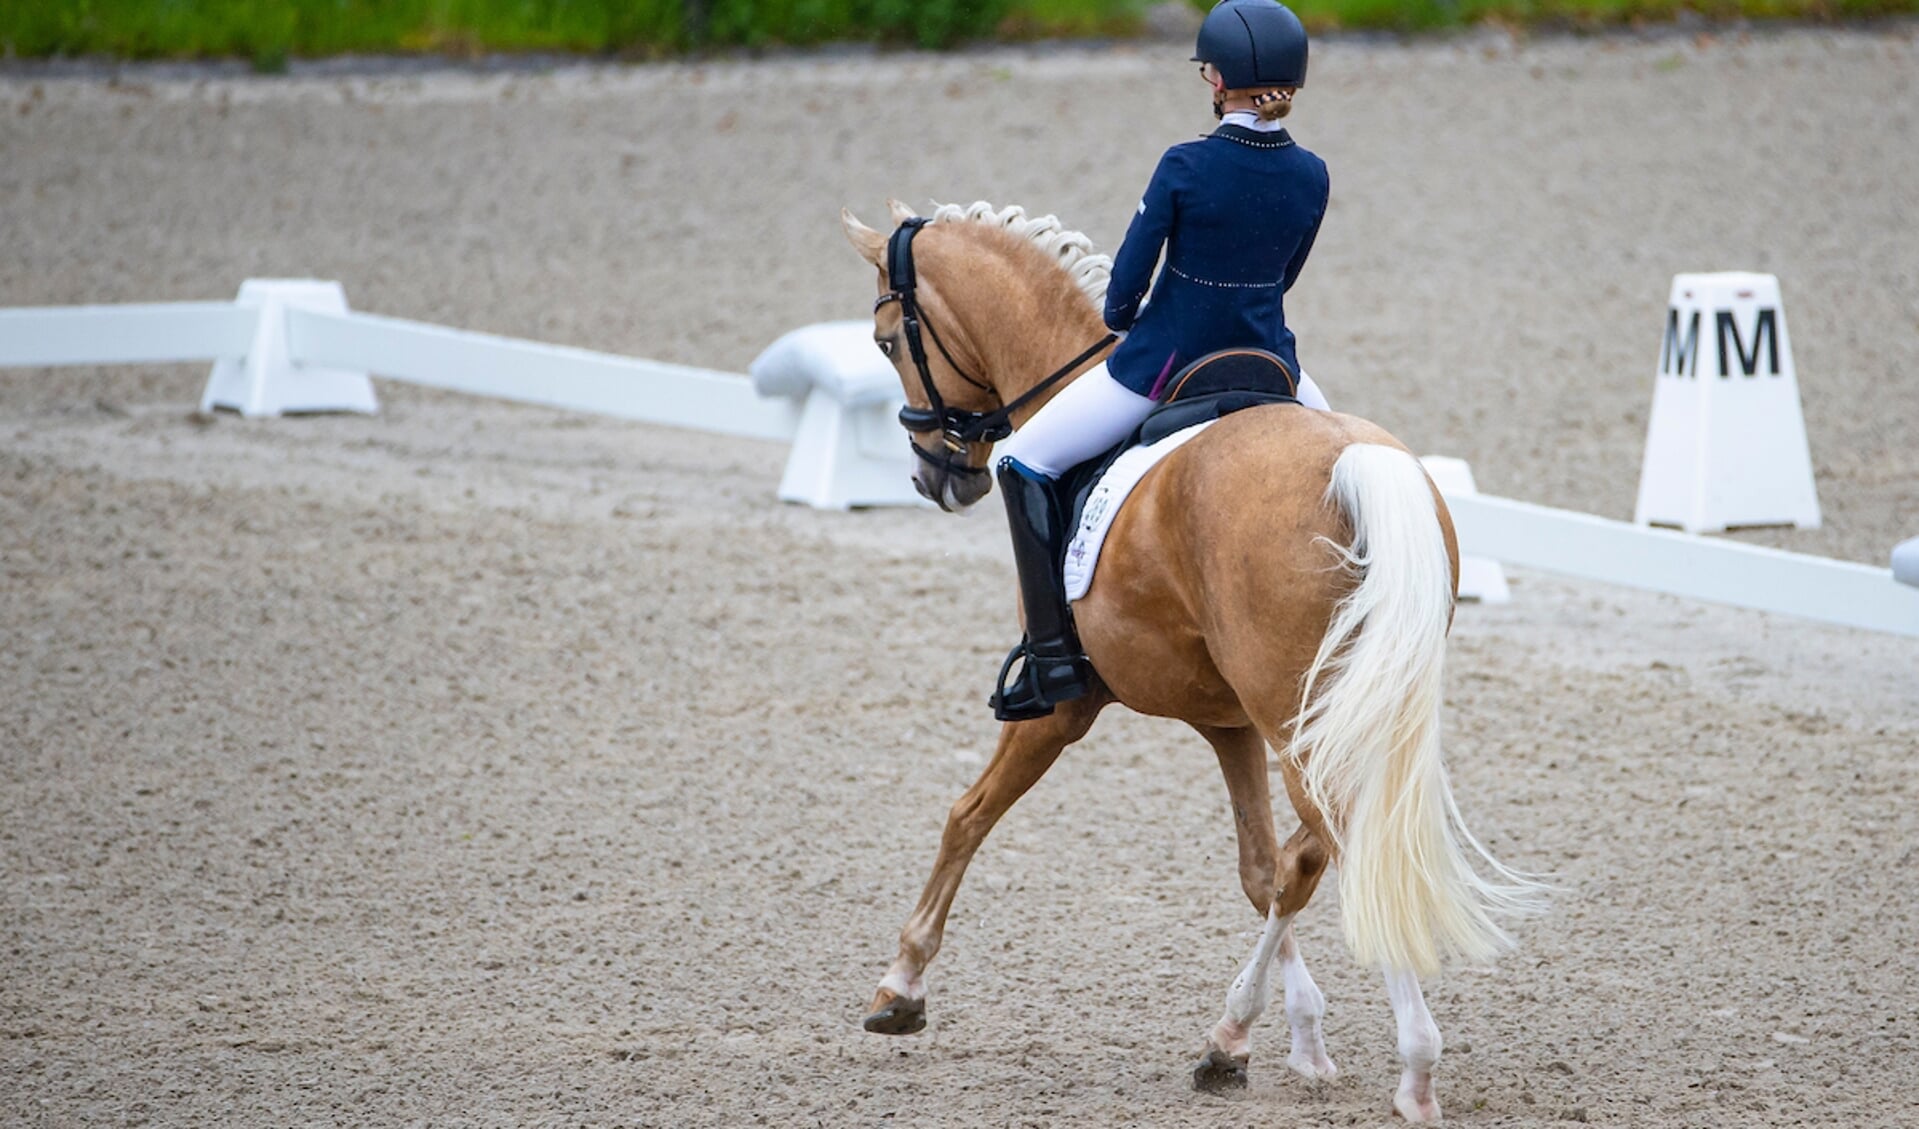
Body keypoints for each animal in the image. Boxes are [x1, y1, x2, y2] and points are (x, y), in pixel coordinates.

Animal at [840, 200, 1542, 1121]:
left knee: (1345, 837)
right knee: (1318, 850)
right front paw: (1299, 1038)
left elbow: (967, 813)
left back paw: (1399, 1066)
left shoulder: (1061, 707)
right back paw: (1253, 1036)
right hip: (1339, 705)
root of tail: (1354, 463)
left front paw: (899, 986)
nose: (938, 478)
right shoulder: (1227, 721)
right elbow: (1261, 869)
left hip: (1297, 716)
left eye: (887, 339)